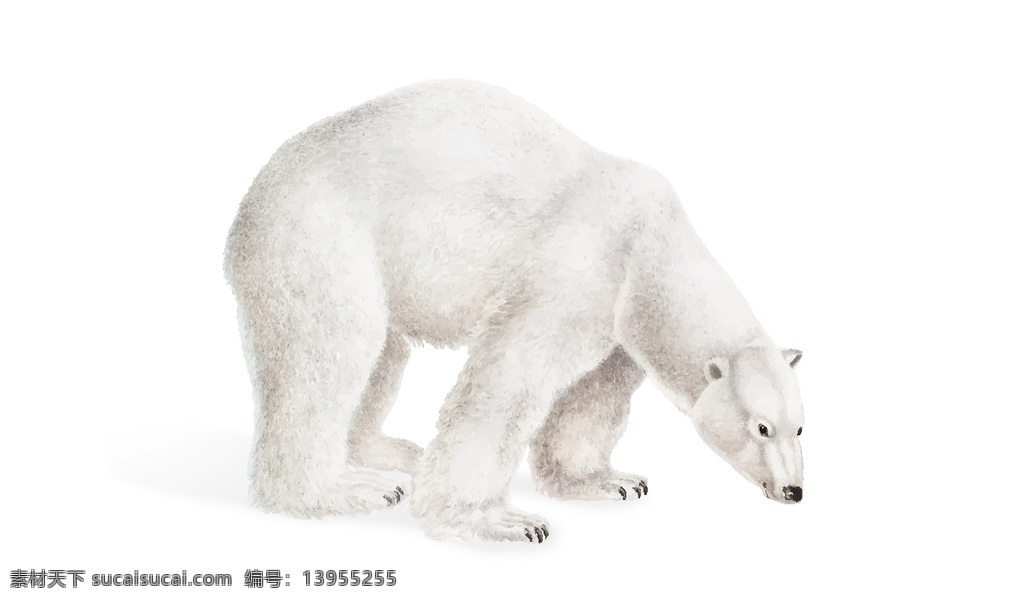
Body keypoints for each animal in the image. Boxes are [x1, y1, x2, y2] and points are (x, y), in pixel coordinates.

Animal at [224, 79, 806, 543]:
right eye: (761, 428)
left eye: (800, 427)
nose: (794, 491)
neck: (654, 246)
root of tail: (254, 194)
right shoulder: (581, 267)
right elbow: (508, 378)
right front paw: (502, 521)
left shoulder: (619, 318)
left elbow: (592, 393)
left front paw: (608, 480)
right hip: (318, 239)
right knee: (330, 355)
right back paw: (344, 491)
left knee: (382, 357)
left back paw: (393, 452)